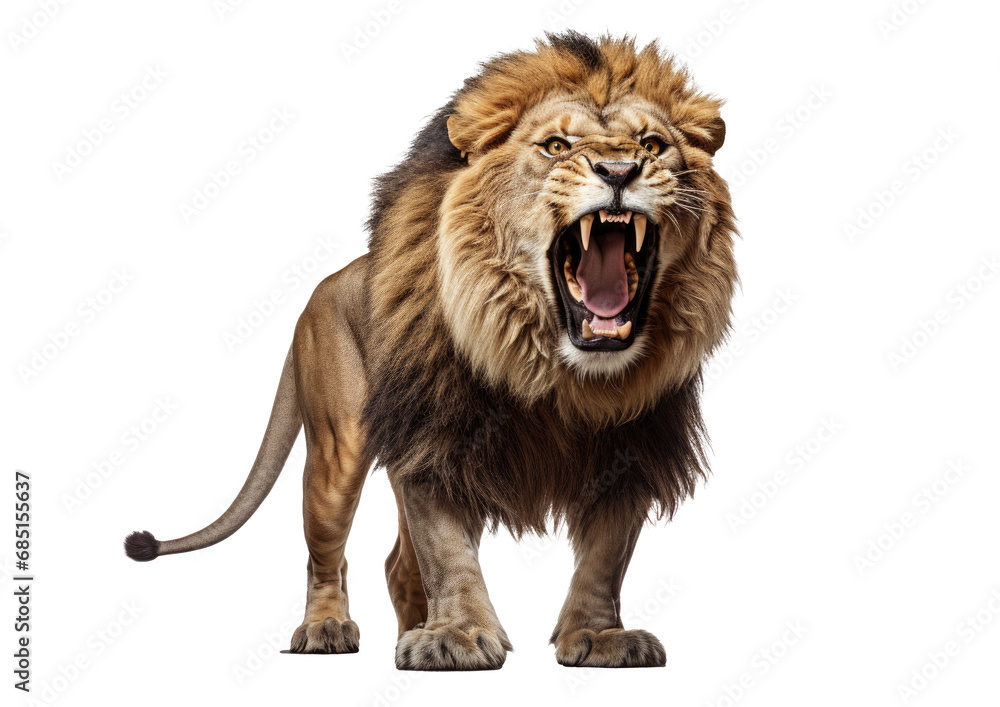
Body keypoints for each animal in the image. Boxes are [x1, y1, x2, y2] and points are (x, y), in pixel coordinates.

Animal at [124, 32, 737, 671]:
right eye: (556, 146)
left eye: (653, 145)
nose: (619, 169)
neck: (553, 372)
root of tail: (323, 288)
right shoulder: (433, 435)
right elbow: (446, 549)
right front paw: (459, 635)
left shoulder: (633, 449)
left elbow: (605, 556)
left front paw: (599, 636)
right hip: (337, 452)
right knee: (326, 555)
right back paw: (327, 629)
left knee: (398, 565)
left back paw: (409, 630)